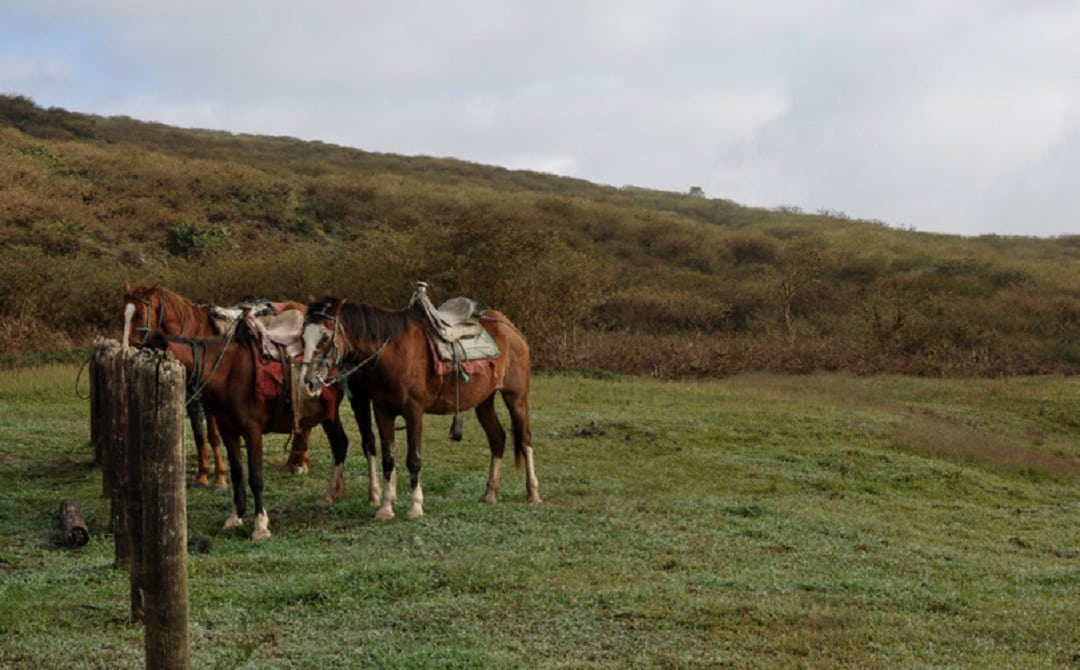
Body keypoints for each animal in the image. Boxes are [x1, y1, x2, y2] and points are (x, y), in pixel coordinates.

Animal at [145, 319, 349, 538]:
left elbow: (256, 477)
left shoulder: (252, 432)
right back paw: (333, 495)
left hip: (329, 415)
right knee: (340, 444)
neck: (227, 373)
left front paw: (260, 525)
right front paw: (235, 516)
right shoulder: (228, 431)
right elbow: (237, 474)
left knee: (339, 444)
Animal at [295, 293, 540, 518]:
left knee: (526, 438)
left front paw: (415, 506)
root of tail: (511, 328)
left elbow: (413, 459)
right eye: (303, 338)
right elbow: (388, 458)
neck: (393, 352)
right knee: (497, 438)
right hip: (484, 401)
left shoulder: (413, 411)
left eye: (325, 336)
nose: (307, 382)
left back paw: (533, 493)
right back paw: (490, 493)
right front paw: (386, 507)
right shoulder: (382, 411)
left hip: (516, 397)